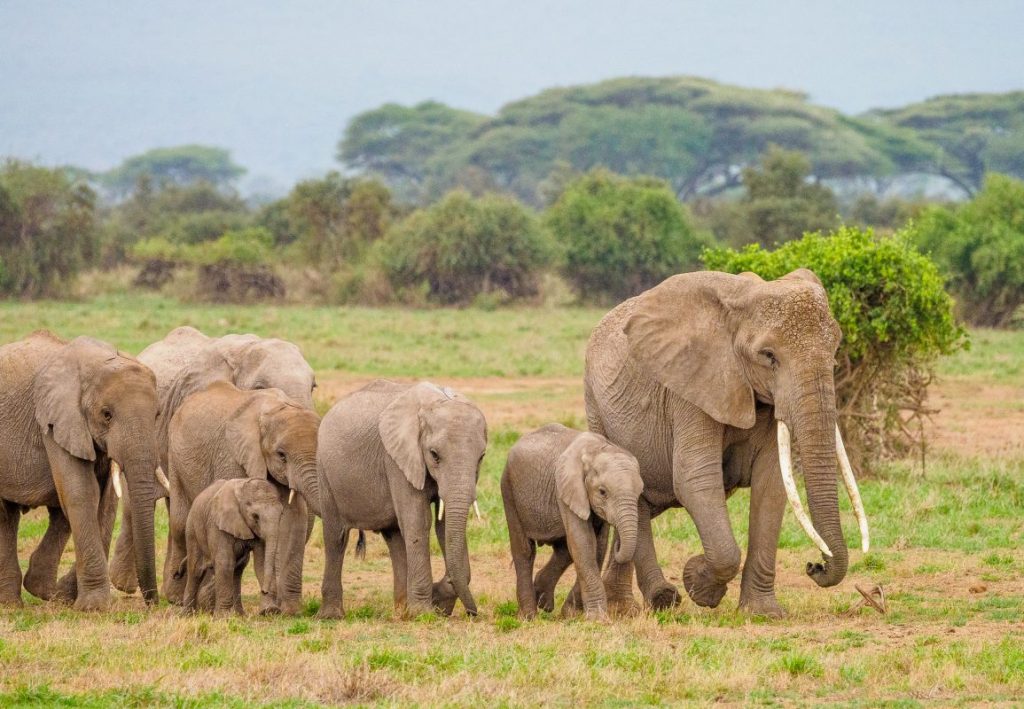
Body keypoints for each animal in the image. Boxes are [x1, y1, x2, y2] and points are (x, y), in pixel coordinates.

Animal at [0, 332, 161, 610]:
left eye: (157, 415)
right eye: (106, 415)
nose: (154, 603)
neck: (97, 363)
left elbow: (105, 502)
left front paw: (71, 598)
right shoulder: (55, 422)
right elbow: (82, 493)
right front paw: (94, 608)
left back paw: (44, 592)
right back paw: (13, 604)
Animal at [179, 478, 284, 616]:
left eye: (282, 514)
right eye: (255, 516)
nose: (264, 591)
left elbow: (260, 563)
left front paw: (270, 611)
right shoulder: (217, 524)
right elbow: (225, 562)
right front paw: (223, 617)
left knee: (238, 570)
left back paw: (240, 615)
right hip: (192, 529)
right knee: (196, 570)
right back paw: (187, 615)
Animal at [317, 380, 487, 619]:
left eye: (481, 457)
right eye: (434, 454)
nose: (473, 613)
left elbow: (444, 527)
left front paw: (438, 602)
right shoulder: (396, 459)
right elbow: (418, 522)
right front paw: (424, 613)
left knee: (395, 538)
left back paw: (402, 610)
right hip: (325, 472)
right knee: (335, 537)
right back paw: (332, 616)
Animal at [501, 424, 643, 620]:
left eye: (639, 493)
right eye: (602, 492)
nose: (619, 543)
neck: (598, 450)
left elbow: (597, 546)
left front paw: (572, 614)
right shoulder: (567, 489)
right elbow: (583, 542)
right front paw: (598, 620)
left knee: (564, 551)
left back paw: (542, 601)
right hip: (509, 489)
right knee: (524, 551)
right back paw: (529, 616)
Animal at [584, 269, 870, 617]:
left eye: (835, 351)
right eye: (768, 356)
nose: (814, 566)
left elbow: (771, 485)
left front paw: (762, 613)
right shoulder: (691, 387)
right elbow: (695, 479)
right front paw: (698, 583)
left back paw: (626, 605)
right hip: (597, 407)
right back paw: (661, 599)